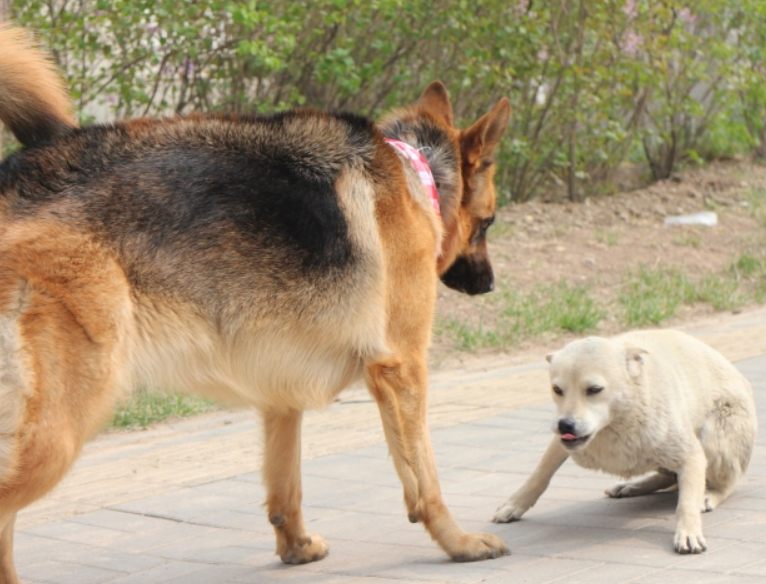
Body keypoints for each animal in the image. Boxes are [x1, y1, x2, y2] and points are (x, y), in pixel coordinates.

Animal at [0, 24, 510, 580]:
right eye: (489, 223)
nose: (490, 286)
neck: (414, 170)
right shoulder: (402, 370)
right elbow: (425, 479)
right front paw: (458, 543)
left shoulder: (280, 394)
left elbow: (286, 486)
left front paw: (296, 547)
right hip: (61, 425)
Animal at [496, 330, 760, 556]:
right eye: (557, 389)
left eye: (594, 389)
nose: (566, 425)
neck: (616, 421)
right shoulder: (564, 442)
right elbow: (540, 473)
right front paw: (514, 505)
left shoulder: (691, 454)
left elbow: (686, 503)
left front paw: (688, 532)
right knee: (668, 477)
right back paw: (632, 486)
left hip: (717, 431)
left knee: (726, 482)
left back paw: (709, 494)